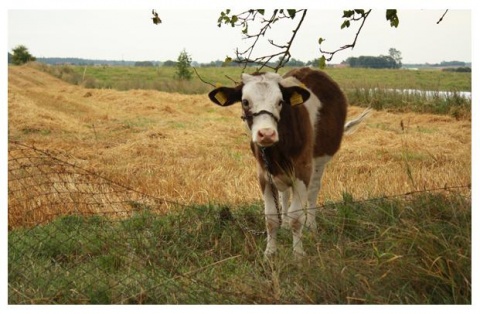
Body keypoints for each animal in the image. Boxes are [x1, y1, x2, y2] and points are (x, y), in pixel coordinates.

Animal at [208, 67, 370, 258]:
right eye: (245, 102)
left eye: (280, 102)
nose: (266, 133)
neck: (276, 150)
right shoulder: (263, 174)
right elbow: (270, 217)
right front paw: (269, 252)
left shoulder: (302, 170)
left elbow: (296, 217)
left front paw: (298, 253)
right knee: (284, 194)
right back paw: (284, 223)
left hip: (319, 161)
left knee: (313, 191)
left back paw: (311, 226)